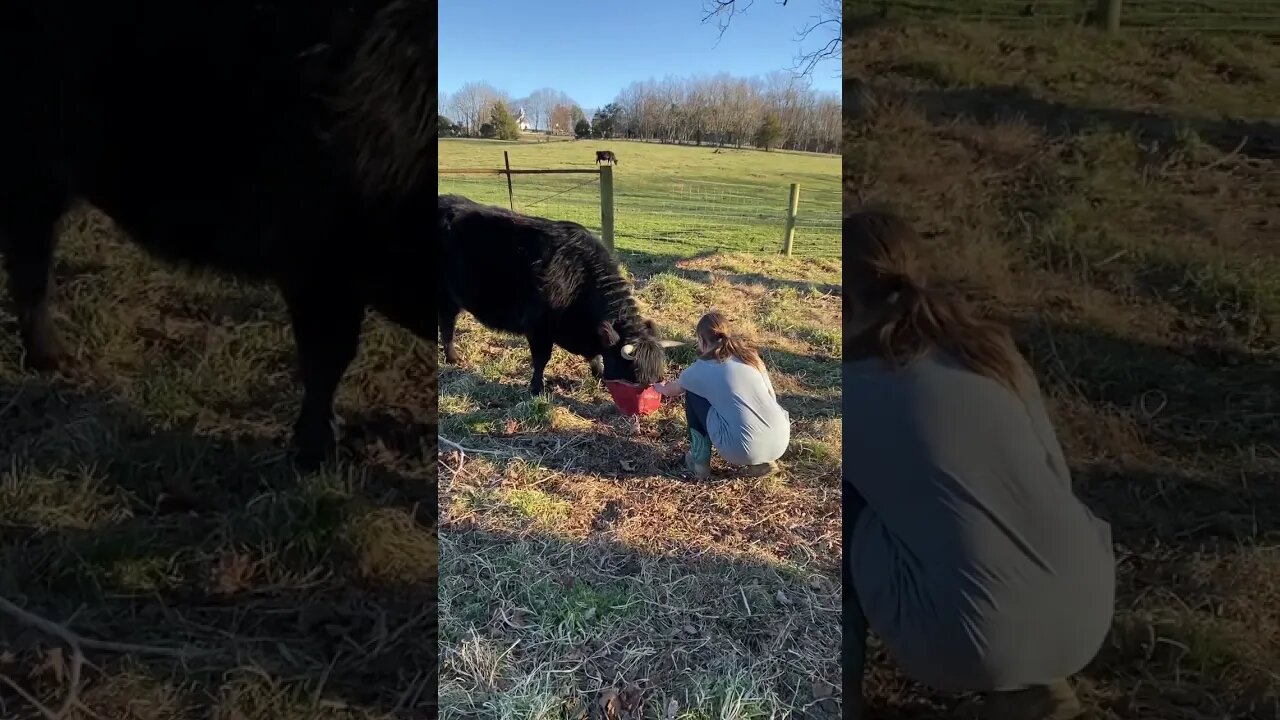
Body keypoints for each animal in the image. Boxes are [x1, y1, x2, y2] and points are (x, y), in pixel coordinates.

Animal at [437, 194, 680, 392]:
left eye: (658, 377)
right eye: (634, 376)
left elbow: (595, 356)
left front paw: (599, 374)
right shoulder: (538, 328)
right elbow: (541, 359)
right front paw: (536, 388)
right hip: (445, 297)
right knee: (447, 326)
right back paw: (452, 357)